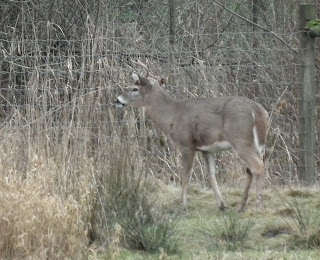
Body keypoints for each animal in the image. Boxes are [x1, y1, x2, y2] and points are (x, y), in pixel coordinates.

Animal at [115, 66, 268, 212]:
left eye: (135, 88)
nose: (117, 100)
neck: (172, 115)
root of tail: (258, 110)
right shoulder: (207, 149)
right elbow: (211, 175)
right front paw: (221, 205)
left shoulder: (187, 144)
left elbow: (185, 176)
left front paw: (183, 206)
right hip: (257, 144)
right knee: (250, 170)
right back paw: (242, 206)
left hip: (239, 138)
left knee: (258, 167)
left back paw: (259, 206)